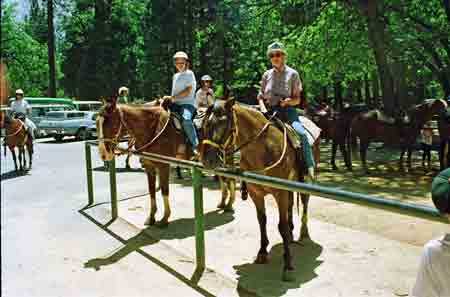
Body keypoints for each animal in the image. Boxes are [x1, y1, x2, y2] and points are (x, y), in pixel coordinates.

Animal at [95, 96, 236, 225]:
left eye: (110, 123)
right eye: (96, 123)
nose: (103, 154)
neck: (152, 129)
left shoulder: (163, 166)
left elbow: (164, 190)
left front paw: (164, 218)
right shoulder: (149, 166)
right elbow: (151, 190)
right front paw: (151, 217)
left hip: (226, 155)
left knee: (230, 178)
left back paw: (229, 204)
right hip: (213, 159)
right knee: (223, 177)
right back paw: (223, 203)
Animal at [200, 99, 320, 280]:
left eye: (223, 123)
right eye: (205, 123)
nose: (208, 159)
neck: (262, 149)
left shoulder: (280, 193)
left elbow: (281, 226)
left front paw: (288, 264)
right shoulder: (256, 194)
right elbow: (262, 221)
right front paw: (262, 252)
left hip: (304, 180)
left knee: (304, 202)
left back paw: (303, 234)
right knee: (291, 204)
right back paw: (292, 233)